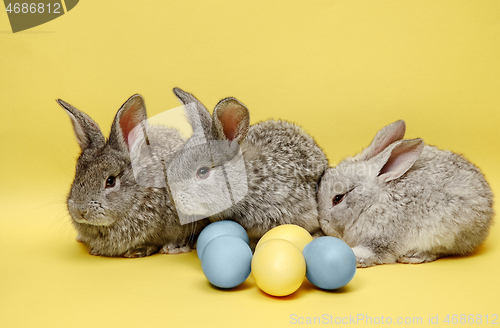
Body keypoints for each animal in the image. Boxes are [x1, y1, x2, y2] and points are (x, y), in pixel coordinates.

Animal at [318, 120, 494, 266]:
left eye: (337, 199)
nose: (322, 223)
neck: (372, 203)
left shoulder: (382, 238)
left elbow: (372, 253)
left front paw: (354, 256)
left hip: (447, 232)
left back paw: (414, 256)